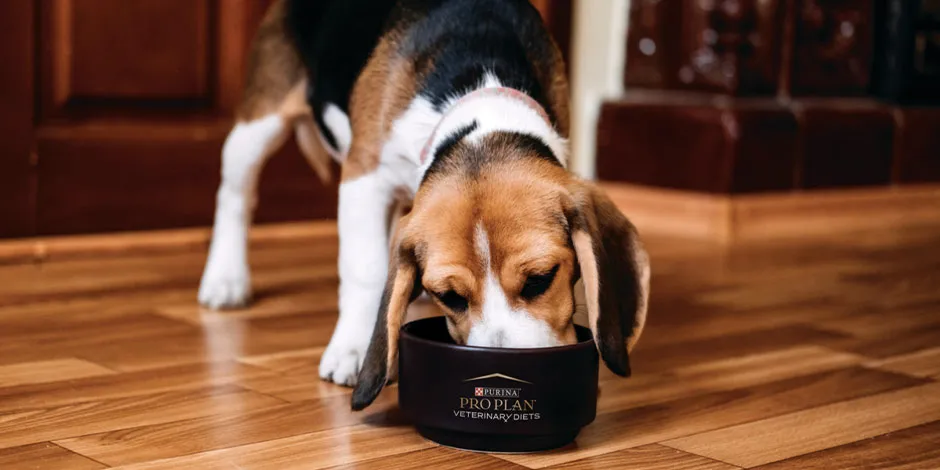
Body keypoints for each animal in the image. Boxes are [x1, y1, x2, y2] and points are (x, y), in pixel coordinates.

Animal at [196, 0, 652, 410]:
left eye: (541, 279)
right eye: (449, 297)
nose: (503, 369)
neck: (480, 93)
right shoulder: (363, 177)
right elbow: (363, 271)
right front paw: (354, 348)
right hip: (259, 123)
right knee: (234, 196)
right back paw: (225, 279)